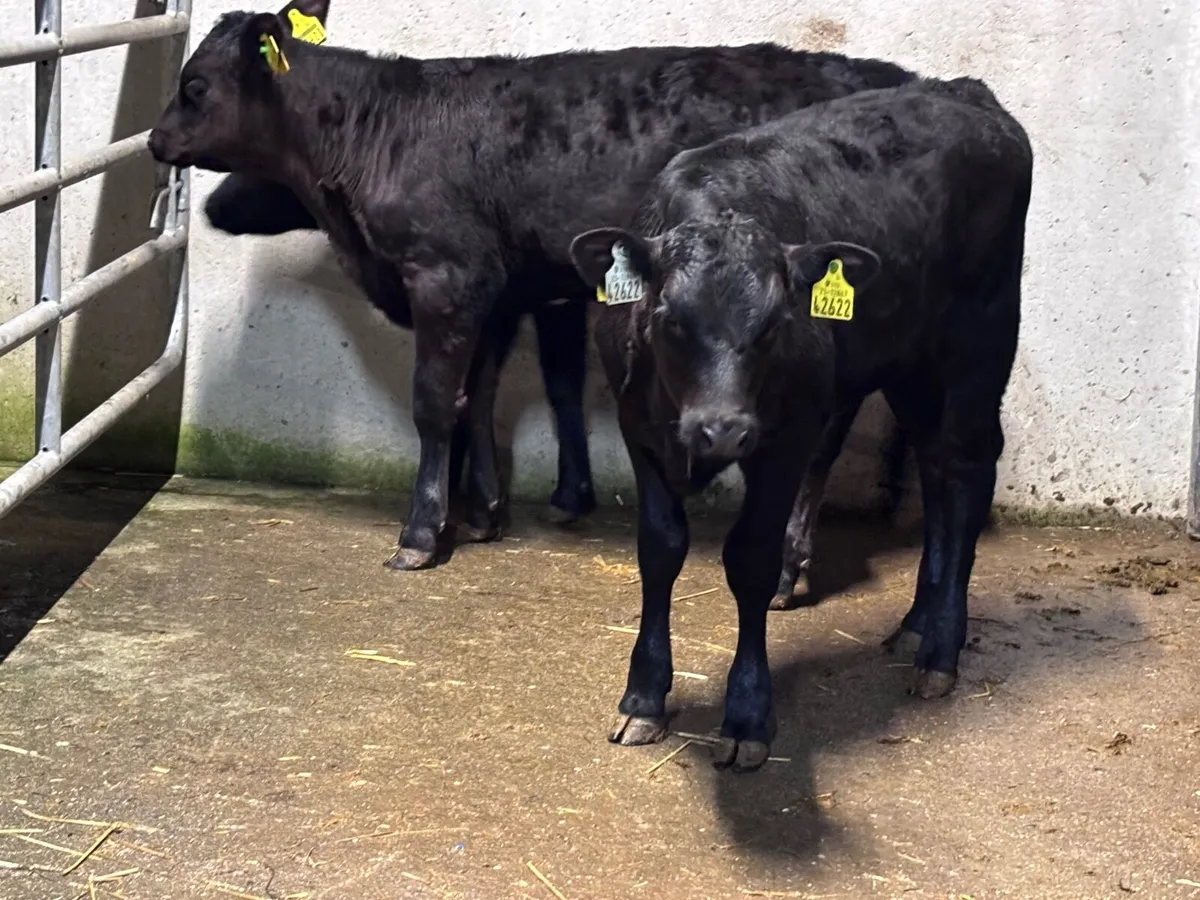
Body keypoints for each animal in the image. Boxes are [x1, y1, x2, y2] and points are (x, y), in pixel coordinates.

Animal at [147, 0, 918, 572]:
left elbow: (435, 403)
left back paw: (793, 561)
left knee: (828, 427)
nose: (155, 142)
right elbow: (478, 396)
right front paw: (483, 513)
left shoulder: (448, 276)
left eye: (195, 87)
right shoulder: (493, 291)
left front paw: (422, 534)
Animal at [568, 76, 1033, 771]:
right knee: (936, 470)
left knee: (969, 471)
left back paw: (940, 652)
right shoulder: (641, 433)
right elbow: (660, 549)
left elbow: (751, 560)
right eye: (670, 317)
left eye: (775, 323)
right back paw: (916, 625)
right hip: (910, 362)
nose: (722, 430)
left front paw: (747, 715)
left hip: (981, 341)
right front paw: (644, 698)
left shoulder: (784, 439)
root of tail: (965, 91)